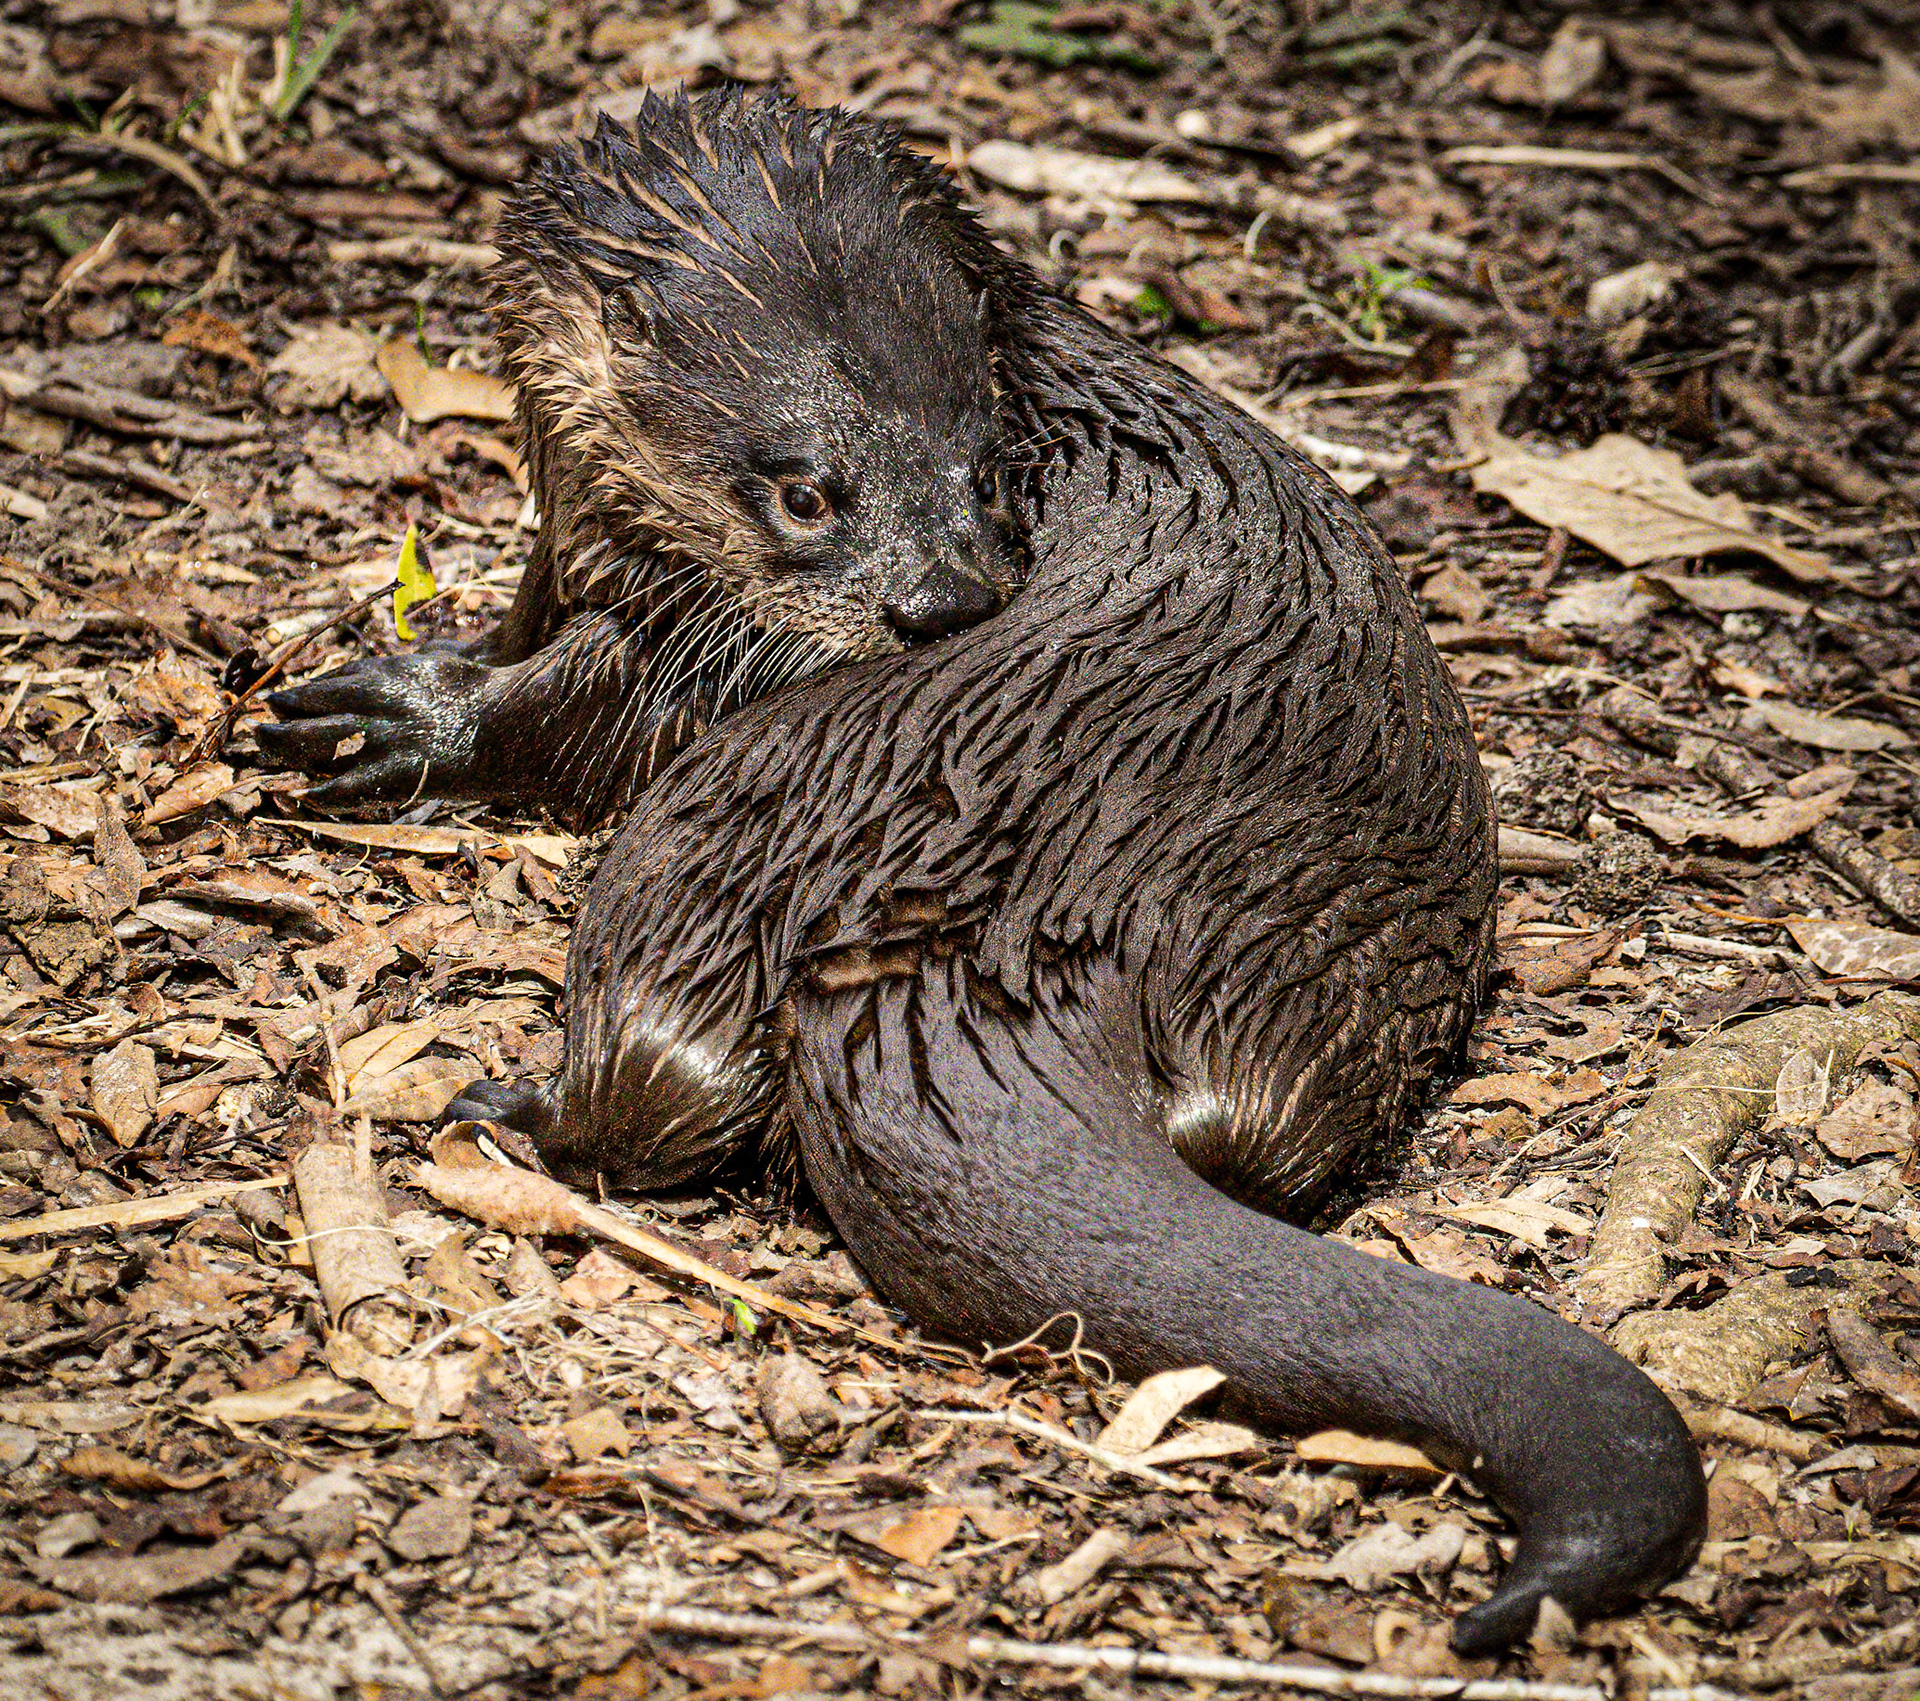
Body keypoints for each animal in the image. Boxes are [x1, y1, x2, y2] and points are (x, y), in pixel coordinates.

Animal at [263, 91, 1706, 1653]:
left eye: (986, 467)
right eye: (805, 493)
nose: (943, 603)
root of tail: (1008, 939)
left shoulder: (686, 635)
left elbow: (579, 713)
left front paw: (403, 719)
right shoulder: (581, 525)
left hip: (712, 836)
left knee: (658, 1078)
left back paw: (507, 1102)